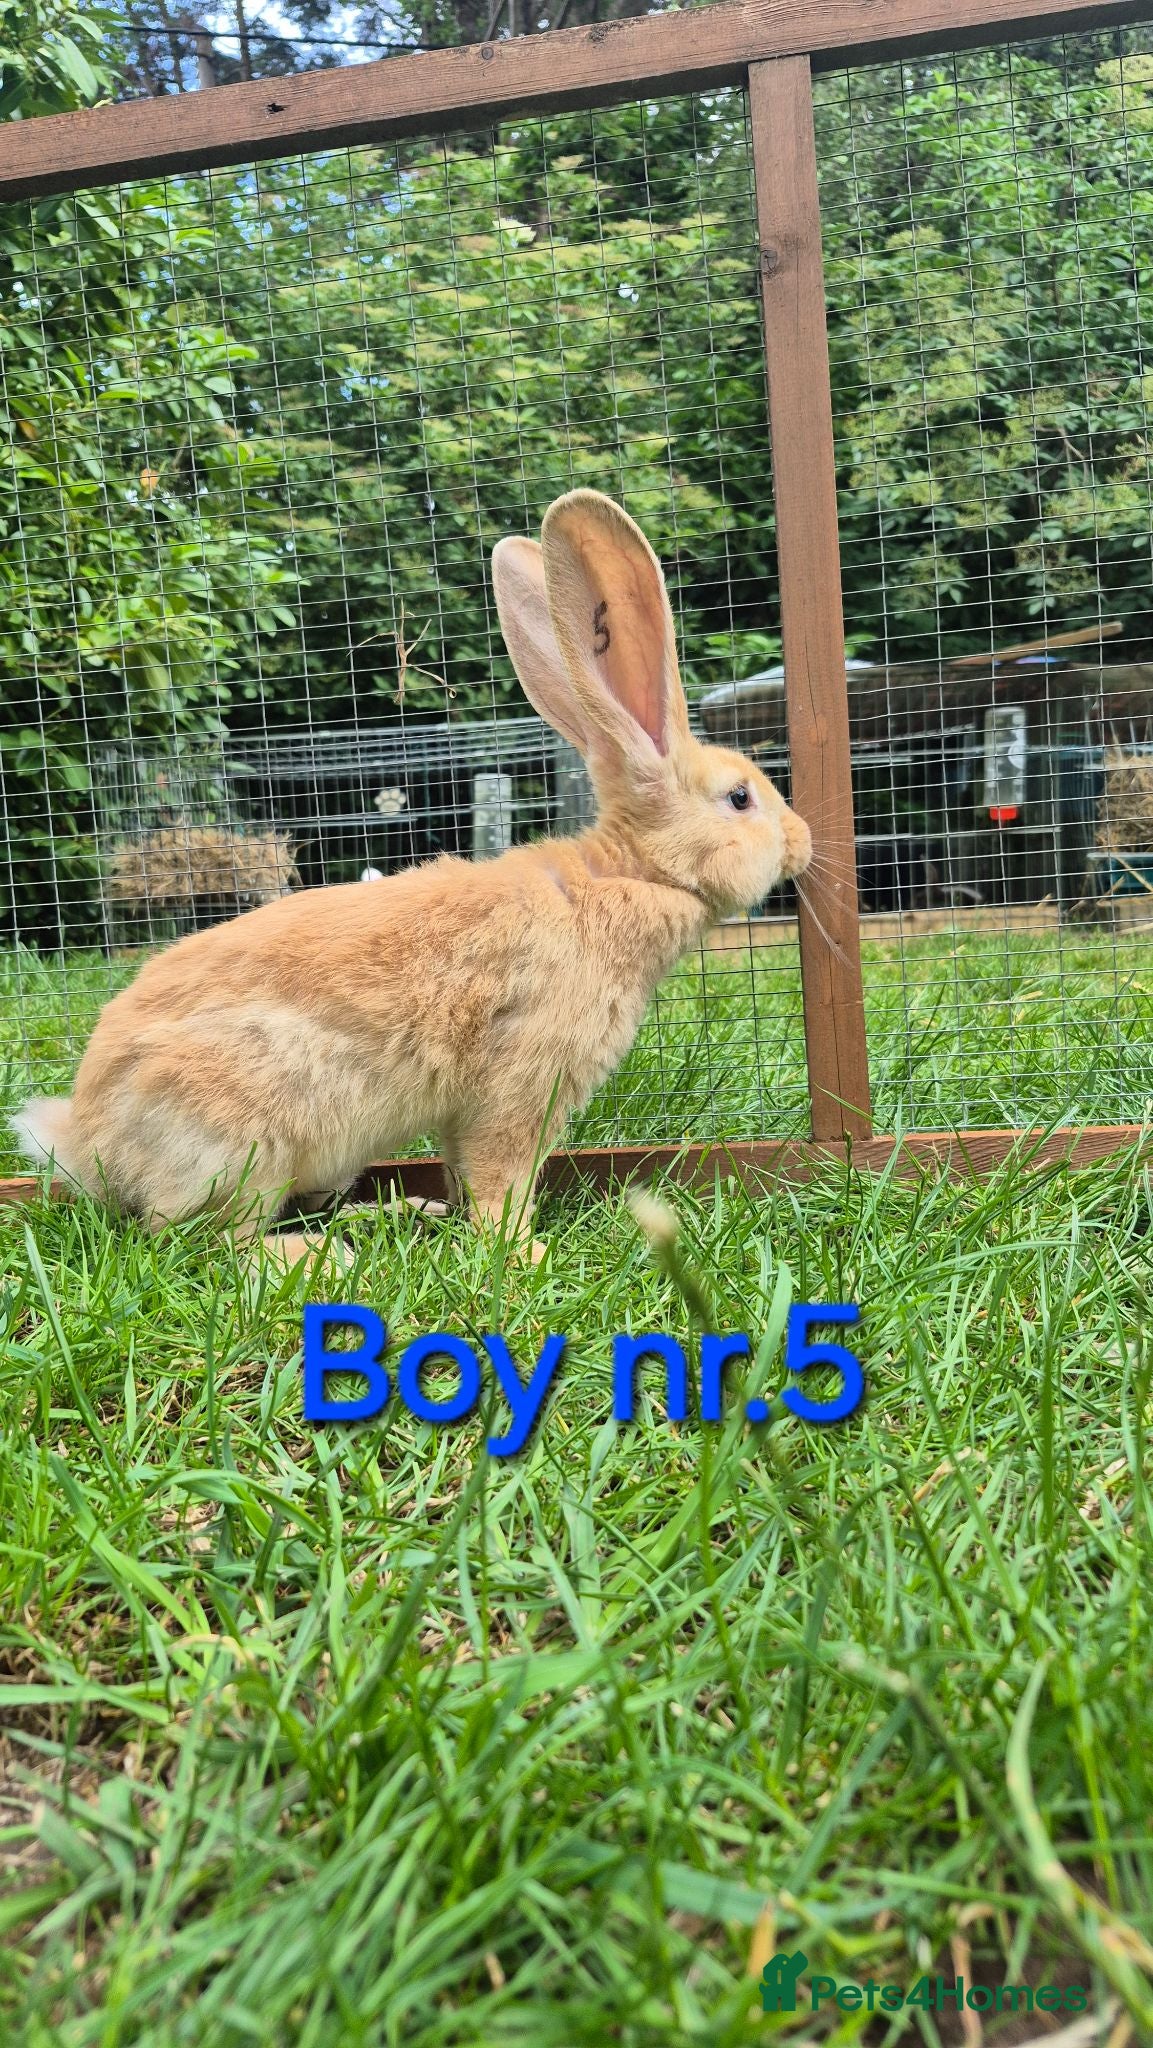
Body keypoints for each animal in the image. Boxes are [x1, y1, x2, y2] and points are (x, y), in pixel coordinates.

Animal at [12, 491, 812, 1259]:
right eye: (741, 798)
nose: (802, 842)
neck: (630, 875)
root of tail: (91, 1144)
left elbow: (464, 1168)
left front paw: (467, 1222)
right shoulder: (518, 1085)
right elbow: (499, 1175)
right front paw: (521, 1251)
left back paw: (396, 1215)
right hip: (243, 1136)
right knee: (206, 1242)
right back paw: (318, 1256)